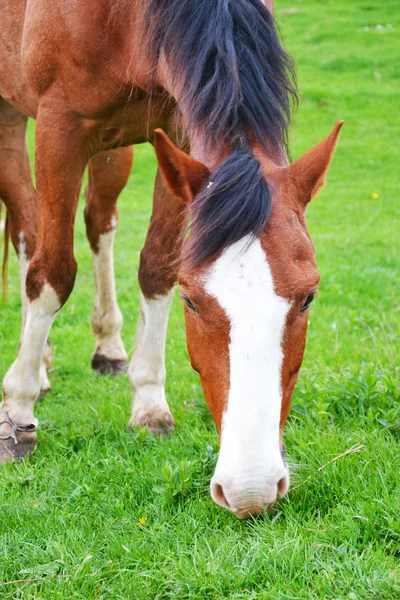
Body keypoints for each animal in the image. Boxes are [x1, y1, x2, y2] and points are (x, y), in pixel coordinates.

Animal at [0, 0, 344, 516]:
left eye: (308, 298)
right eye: (193, 302)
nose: (251, 489)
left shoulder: (179, 136)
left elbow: (157, 266)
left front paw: (148, 403)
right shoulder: (61, 125)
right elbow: (53, 274)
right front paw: (18, 415)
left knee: (99, 220)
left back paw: (107, 346)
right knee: (29, 232)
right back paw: (34, 370)